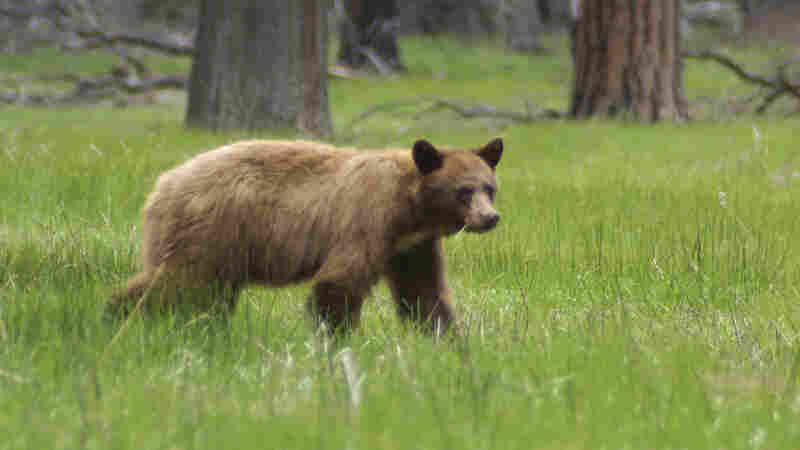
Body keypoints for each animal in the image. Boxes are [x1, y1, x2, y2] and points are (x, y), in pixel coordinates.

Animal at [107, 137, 503, 334]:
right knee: (177, 282)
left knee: (207, 294)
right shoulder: (369, 218)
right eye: (463, 191)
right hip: (207, 230)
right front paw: (338, 340)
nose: (490, 218)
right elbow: (339, 282)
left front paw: (448, 339)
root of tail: (161, 185)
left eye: (489, 187)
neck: (411, 207)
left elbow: (424, 293)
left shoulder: (412, 246)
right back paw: (114, 315)